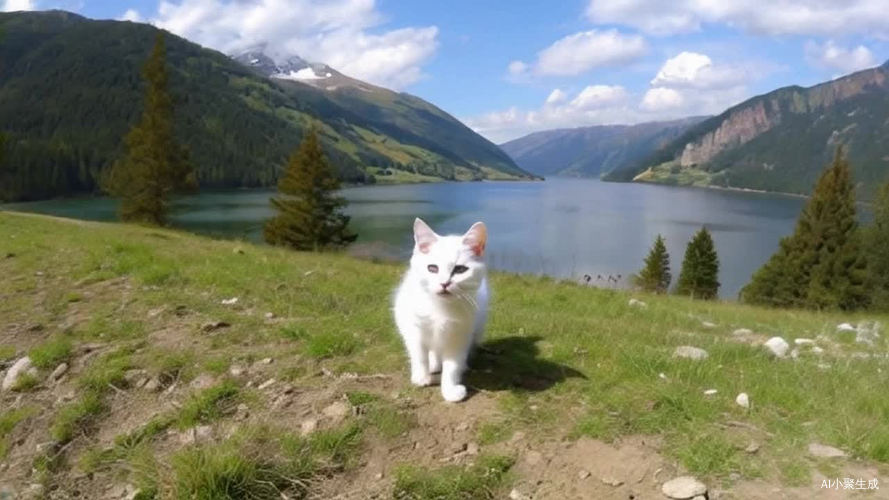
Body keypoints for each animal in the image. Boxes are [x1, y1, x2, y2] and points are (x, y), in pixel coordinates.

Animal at [394, 219, 490, 402]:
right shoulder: (414, 328)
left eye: (460, 270)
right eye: (432, 268)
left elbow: (452, 366)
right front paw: (421, 377)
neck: (441, 307)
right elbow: (419, 354)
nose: (444, 283)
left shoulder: (459, 335)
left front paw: (450, 390)